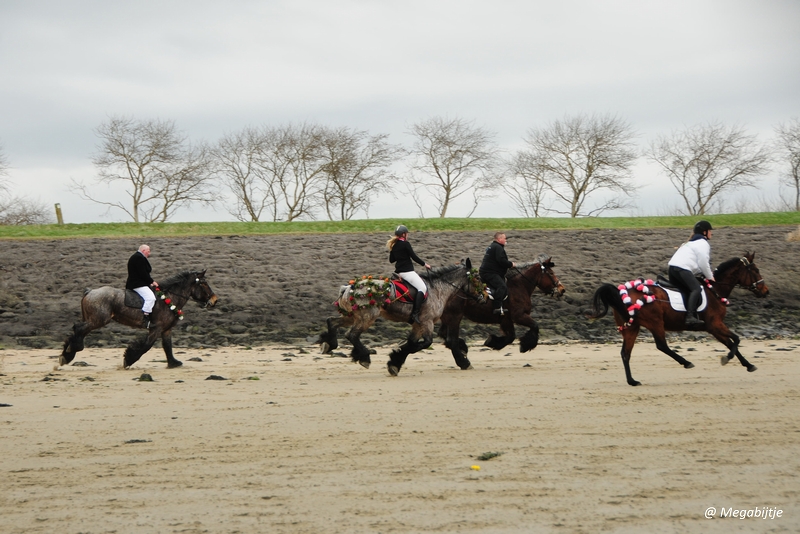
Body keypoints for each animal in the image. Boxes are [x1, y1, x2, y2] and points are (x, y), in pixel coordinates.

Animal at [61, 270, 219, 370]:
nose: (214, 300)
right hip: (98, 320)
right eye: (204, 283)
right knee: (79, 329)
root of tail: (90, 292)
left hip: (93, 320)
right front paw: (128, 359)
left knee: (78, 330)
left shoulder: (166, 329)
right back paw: (71, 351)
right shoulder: (156, 329)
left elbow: (167, 346)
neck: (168, 299)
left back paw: (67, 353)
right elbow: (146, 346)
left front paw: (173, 363)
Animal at [318, 260, 482, 376]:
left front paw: (395, 362)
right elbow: (423, 343)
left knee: (332, 322)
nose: (482, 297)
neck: (438, 289)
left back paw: (330, 344)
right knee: (352, 335)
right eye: (477, 278)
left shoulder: (417, 324)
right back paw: (364, 357)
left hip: (352, 316)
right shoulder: (427, 321)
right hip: (367, 317)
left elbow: (412, 343)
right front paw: (397, 354)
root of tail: (348, 288)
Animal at [434, 258, 564, 370]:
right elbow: (534, 326)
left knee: (444, 334)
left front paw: (492, 341)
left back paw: (462, 348)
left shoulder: (506, 320)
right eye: (551, 273)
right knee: (451, 339)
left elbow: (511, 337)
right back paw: (464, 362)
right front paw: (524, 345)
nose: (562, 289)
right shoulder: (518, 316)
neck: (518, 286)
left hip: (448, 318)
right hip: (455, 316)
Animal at [588, 253, 768, 388]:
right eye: (756, 270)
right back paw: (686, 362)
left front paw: (748, 365)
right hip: (655, 323)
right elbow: (736, 340)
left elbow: (731, 343)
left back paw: (632, 381)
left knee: (626, 353)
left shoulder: (713, 328)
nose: (766, 291)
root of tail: (622, 293)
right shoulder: (715, 324)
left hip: (632, 328)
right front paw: (727, 358)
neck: (714, 290)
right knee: (661, 346)